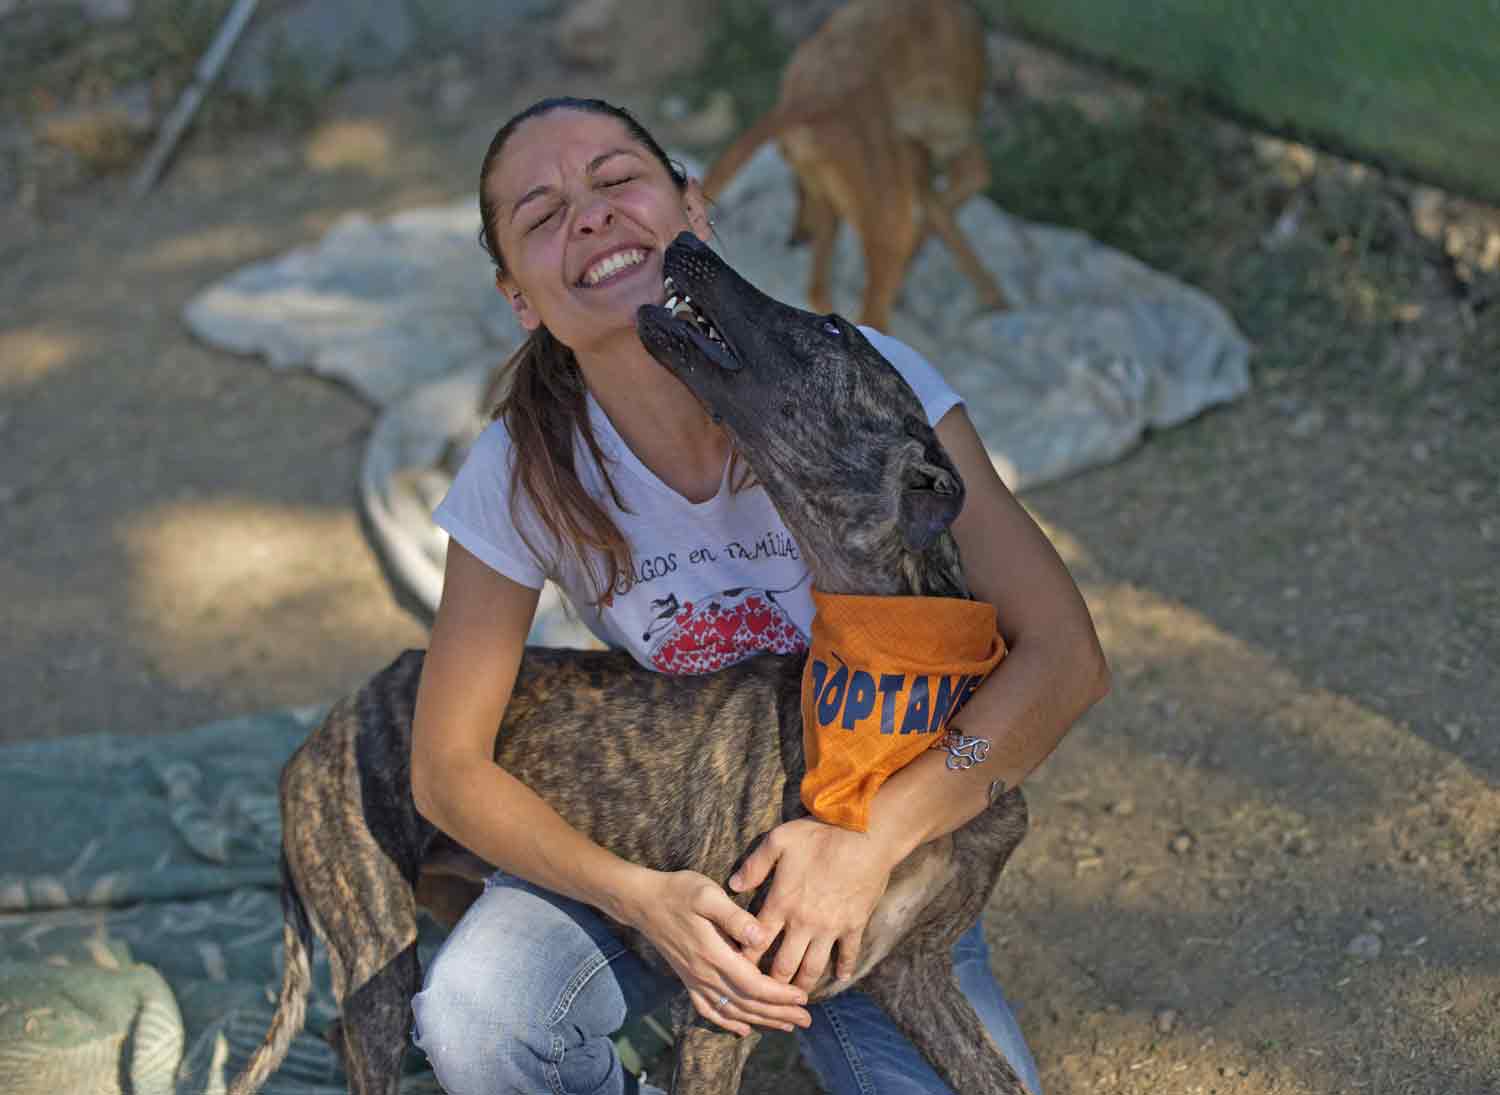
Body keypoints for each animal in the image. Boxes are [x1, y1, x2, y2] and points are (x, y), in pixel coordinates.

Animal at [702, 0, 1008, 328]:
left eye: (799, 181)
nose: (795, 239)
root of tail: (812, 102)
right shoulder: (951, 146)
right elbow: (963, 186)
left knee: (818, 289)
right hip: (888, 223)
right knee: (870, 309)